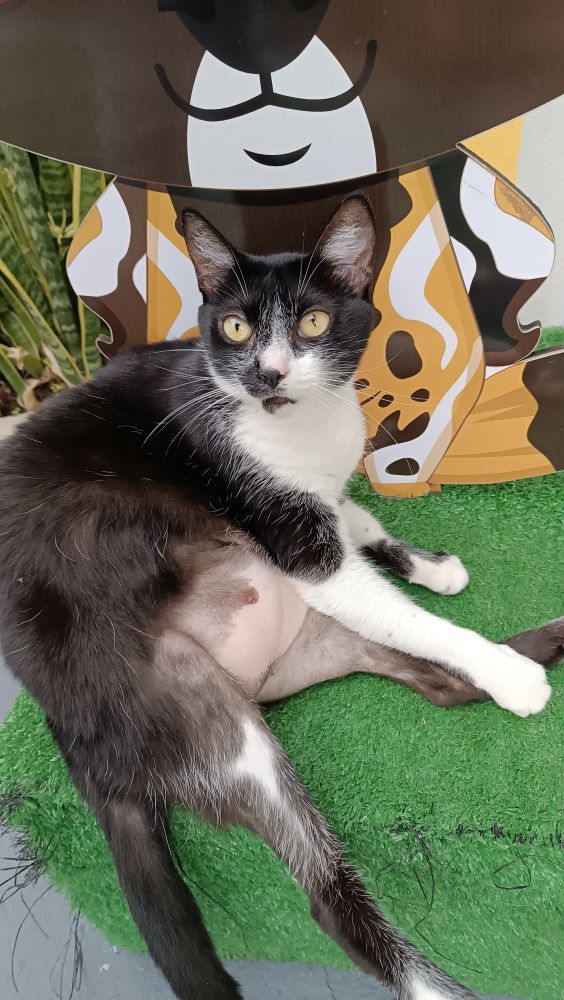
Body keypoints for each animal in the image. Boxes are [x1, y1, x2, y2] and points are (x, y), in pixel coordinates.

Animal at [0, 195, 562, 1000]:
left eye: (315, 322)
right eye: (236, 328)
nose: (267, 372)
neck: (305, 423)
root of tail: (73, 737)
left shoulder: (325, 499)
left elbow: (360, 521)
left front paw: (429, 569)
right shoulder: (294, 541)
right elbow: (370, 576)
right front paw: (503, 671)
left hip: (318, 635)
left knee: (435, 685)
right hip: (197, 712)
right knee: (325, 890)